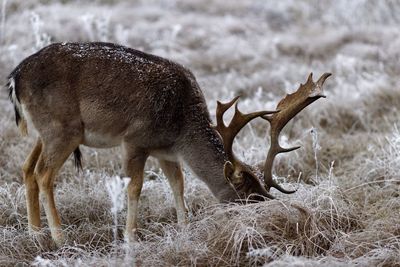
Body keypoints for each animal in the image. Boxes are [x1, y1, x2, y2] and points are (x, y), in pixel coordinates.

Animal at [7, 42, 332, 247]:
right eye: (249, 199)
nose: (269, 225)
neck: (181, 126)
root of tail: (14, 77)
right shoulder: (134, 139)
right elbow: (135, 187)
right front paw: (130, 238)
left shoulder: (166, 152)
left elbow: (178, 184)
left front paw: (184, 228)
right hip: (63, 129)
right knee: (44, 174)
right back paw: (59, 238)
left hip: (44, 132)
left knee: (27, 168)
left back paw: (35, 234)